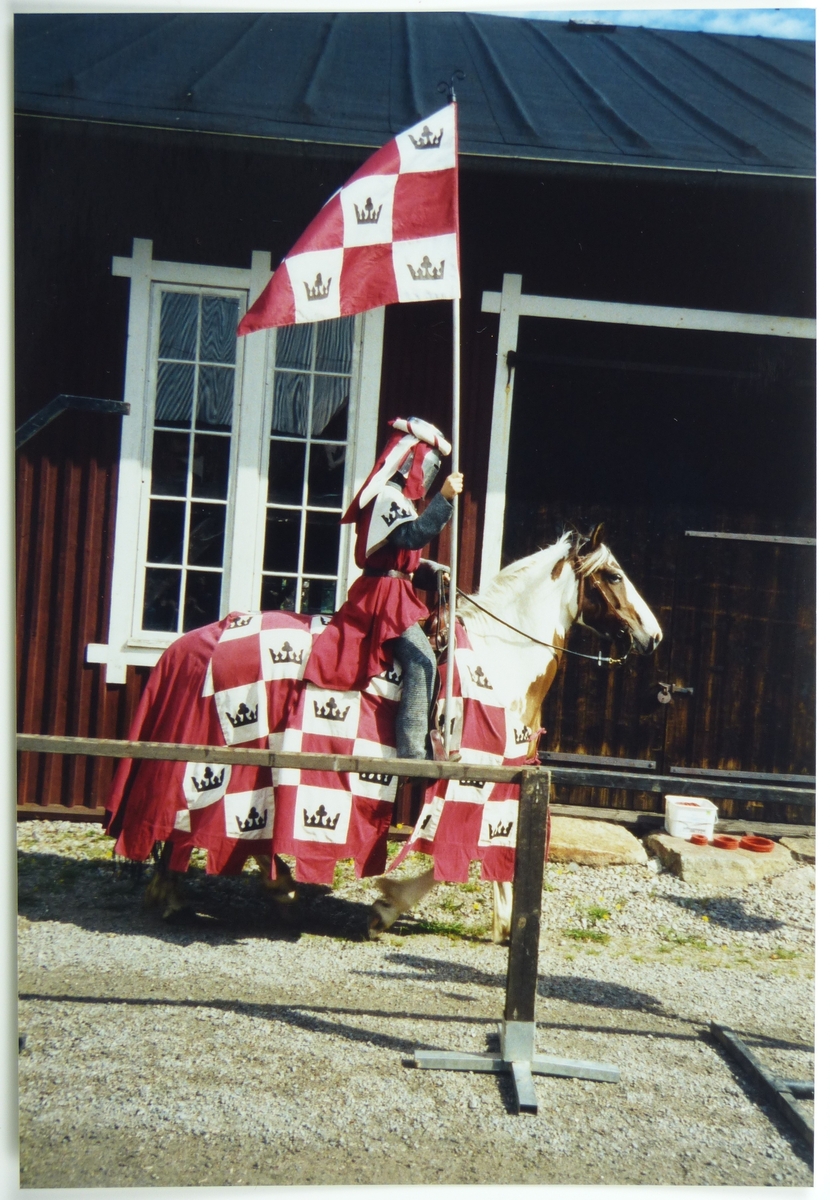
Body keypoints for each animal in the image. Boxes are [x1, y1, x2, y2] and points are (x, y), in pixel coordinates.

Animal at [106, 524, 661, 939]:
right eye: (614, 575)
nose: (652, 636)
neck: (501, 656)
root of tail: (187, 645)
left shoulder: (511, 778)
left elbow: (501, 847)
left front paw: (506, 922)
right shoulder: (471, 780)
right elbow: (445, 855)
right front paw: (389, 906)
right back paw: (232, 891)